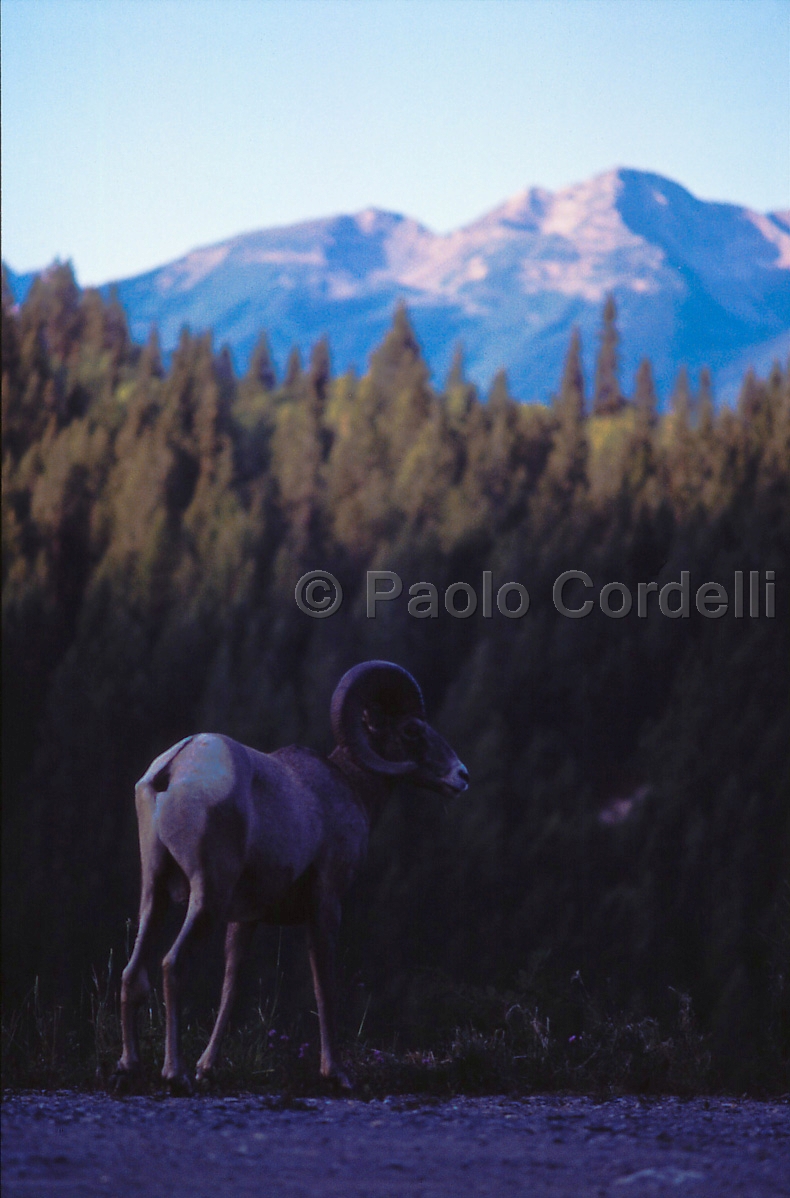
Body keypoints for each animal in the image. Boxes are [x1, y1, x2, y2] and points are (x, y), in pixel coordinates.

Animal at [114, 661, 467, 1092]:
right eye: (412, 730)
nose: (462, 776)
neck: (348, 787)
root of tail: (173, 769)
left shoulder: (245, 919)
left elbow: (231, 987)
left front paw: (208, 1068)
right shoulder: (326, 905)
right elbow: (324, 987)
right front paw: (338, 1075)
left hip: (155, 893)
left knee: (134, 973)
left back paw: (130, 1066)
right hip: (206, 899)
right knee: (172, 965)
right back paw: (175, 1074)